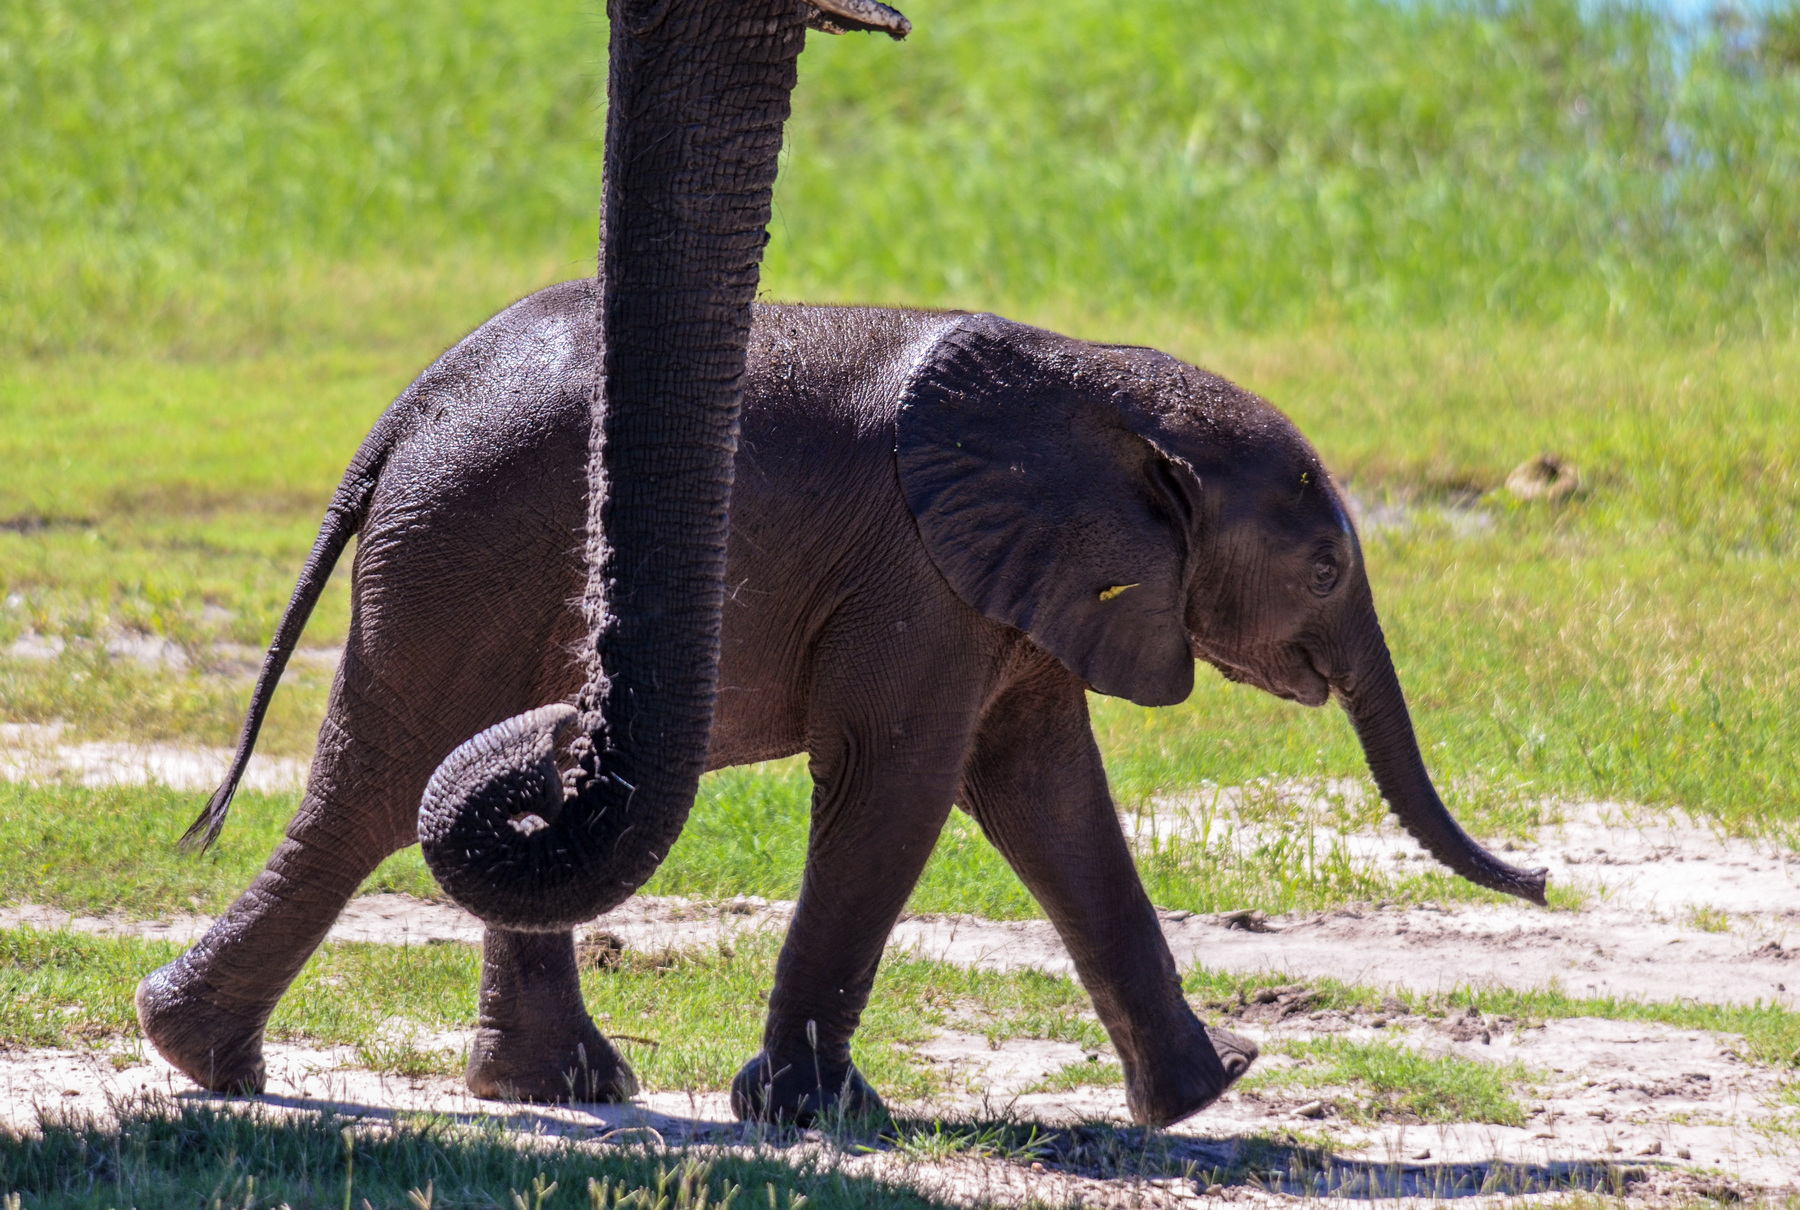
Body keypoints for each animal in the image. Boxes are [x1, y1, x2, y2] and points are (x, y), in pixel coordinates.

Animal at [135, 281, 1548, 1127]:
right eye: (1322, 573)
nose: (1541, 882)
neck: (1097, 386)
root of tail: (406, 410)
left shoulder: (1009, 585)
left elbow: (1050, 795)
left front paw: (1202, 1097)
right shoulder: (917, 576)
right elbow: (898, 786)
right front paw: (821, 1119)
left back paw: (552, 1087)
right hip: (461, 547)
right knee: (380, 787)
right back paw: (214, 1065)